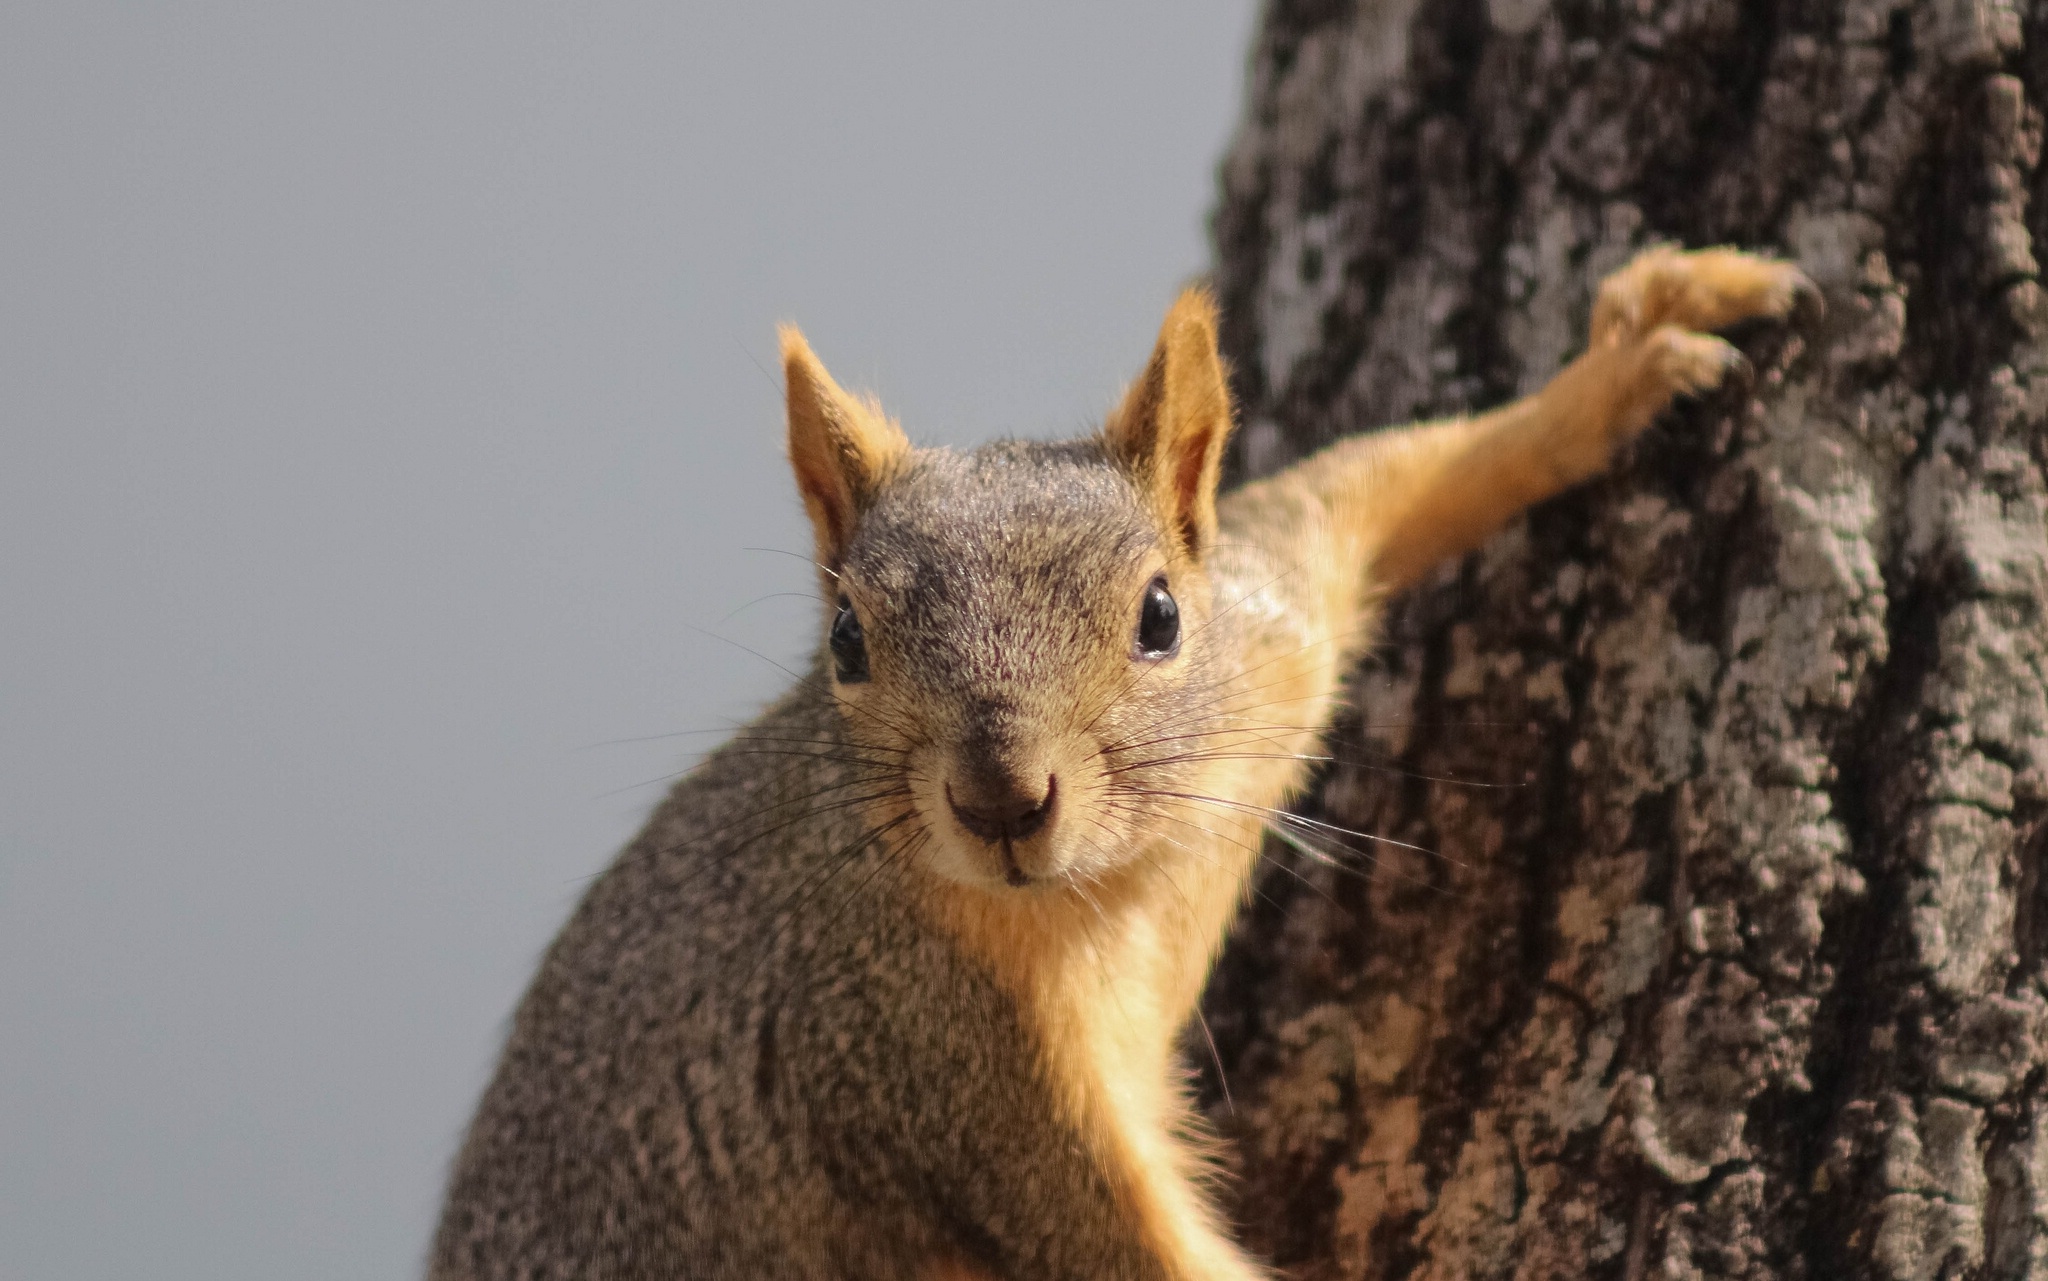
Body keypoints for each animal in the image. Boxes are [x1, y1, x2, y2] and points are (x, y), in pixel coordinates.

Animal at [428, 244, 1810, 1270]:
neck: (1115, 887)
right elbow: (1120, 1247)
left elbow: (1368, 487)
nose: (998, 800)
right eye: (844, 641)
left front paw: (1613, 374)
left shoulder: (1272, 631)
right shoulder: (944, 1070)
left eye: (1159, 615)